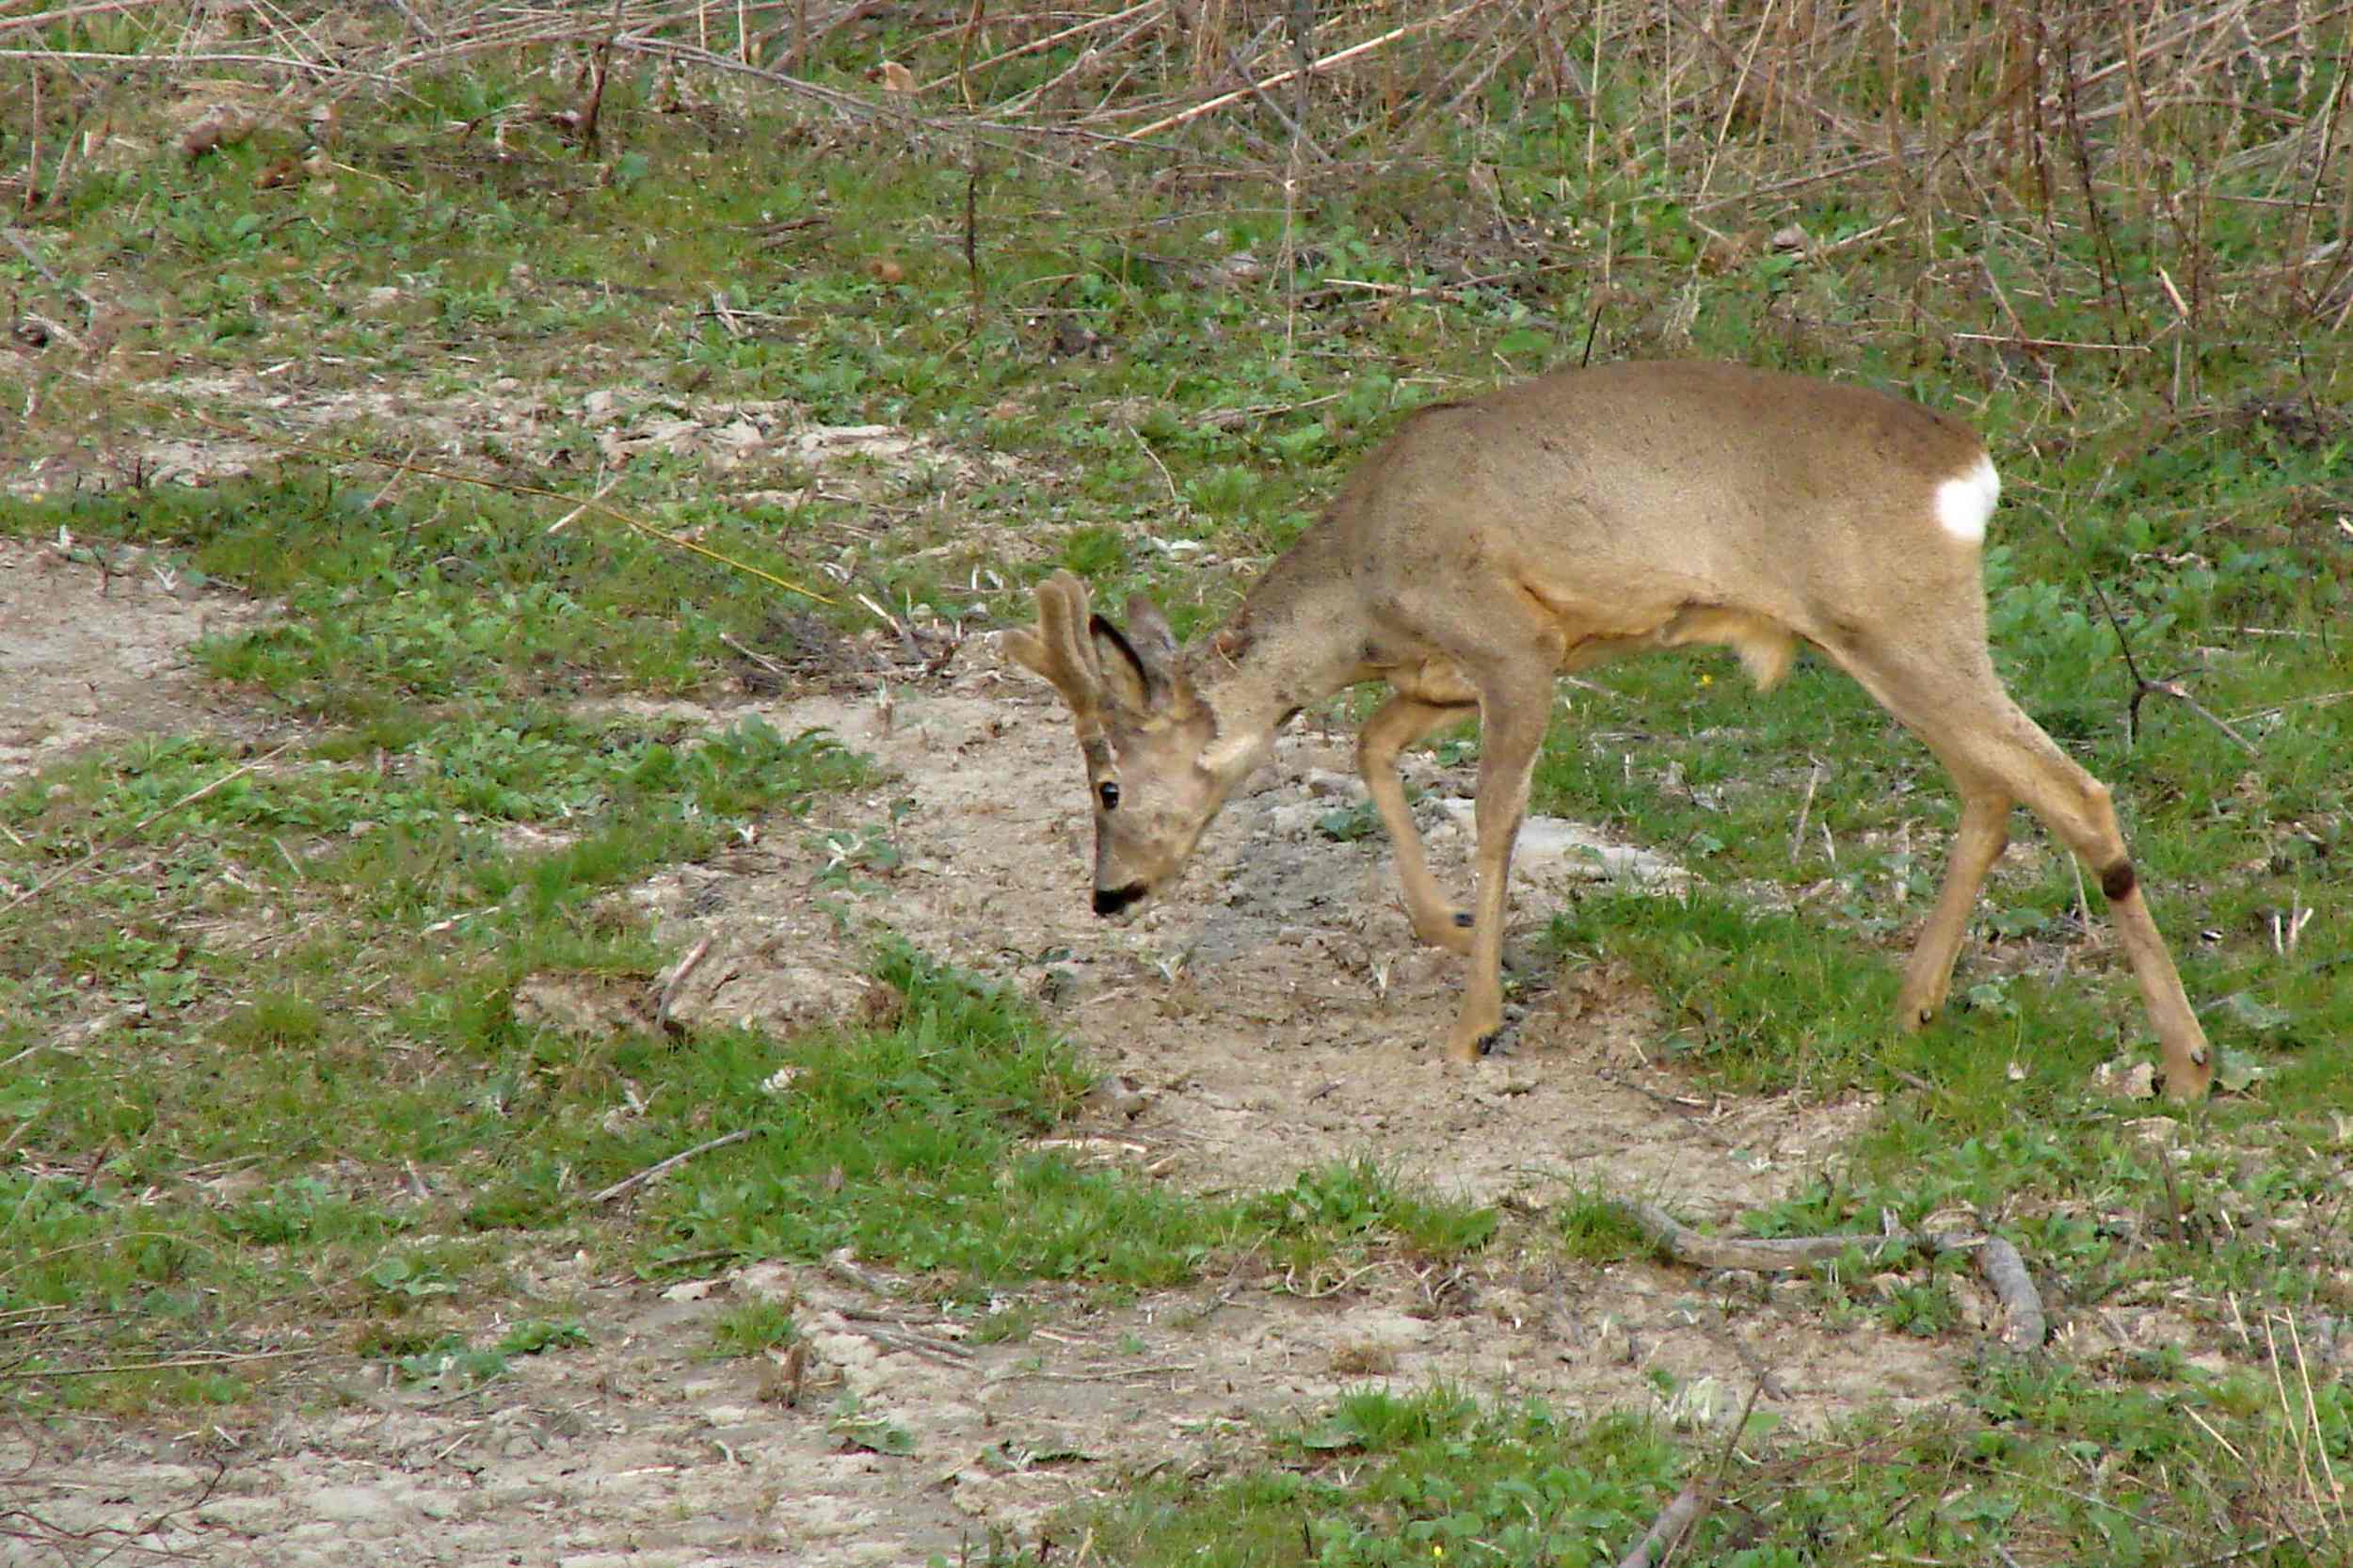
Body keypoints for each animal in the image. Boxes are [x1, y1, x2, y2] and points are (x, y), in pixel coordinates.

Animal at [1002, 358, 2212, 1092]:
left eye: (1106, 784)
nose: (1109, 895)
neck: (1361, 589)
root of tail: (1971, 470)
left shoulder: (1514, 645)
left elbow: (1495, 815)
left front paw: (1475, 1021)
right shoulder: (1444, 673)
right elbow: (1370, 744)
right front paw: (1445, 929)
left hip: (1897, 623)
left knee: (2070, 788)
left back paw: (2186, 1060)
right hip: (1890, 643)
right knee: (1991, 790)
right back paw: (1912, 1009)